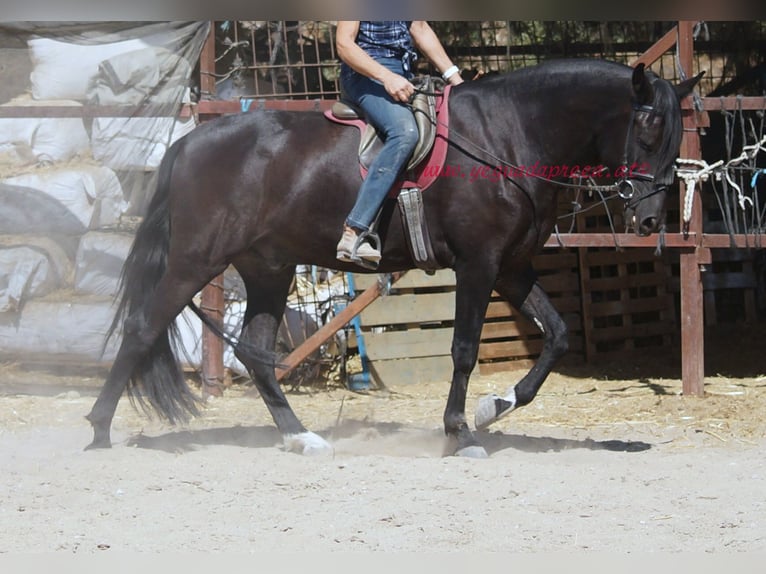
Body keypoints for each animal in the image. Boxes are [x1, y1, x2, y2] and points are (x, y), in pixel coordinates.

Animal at [88, 58, 704, 460]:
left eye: (675, 133)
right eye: (649, 127)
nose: (650, 220)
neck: (507, 136)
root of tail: (190, 142)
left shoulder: (512, 266)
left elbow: (557, 336)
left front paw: (495, 407)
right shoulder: (479, 265)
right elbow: (463, 350)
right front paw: (460, 431)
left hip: (268, 268)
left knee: (257, 355)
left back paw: (300, 437)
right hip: (196, 261)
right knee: (143, 327)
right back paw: (98, 431)